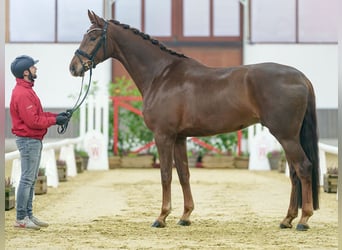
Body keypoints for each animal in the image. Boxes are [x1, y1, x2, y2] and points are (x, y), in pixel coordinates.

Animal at [69, 10, 320, 231]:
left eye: (93, 36)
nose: (73, 67)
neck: (161, 75)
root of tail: (301, 77)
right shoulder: (179, 137)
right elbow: (183, 174)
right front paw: (185, 216)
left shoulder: (163, 135)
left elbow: (165, 174)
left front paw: (161, 217)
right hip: (288, 137)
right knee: (294, 173)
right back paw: (287, 219)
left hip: (286, 136)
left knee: (303, 167)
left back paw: (303, 220)